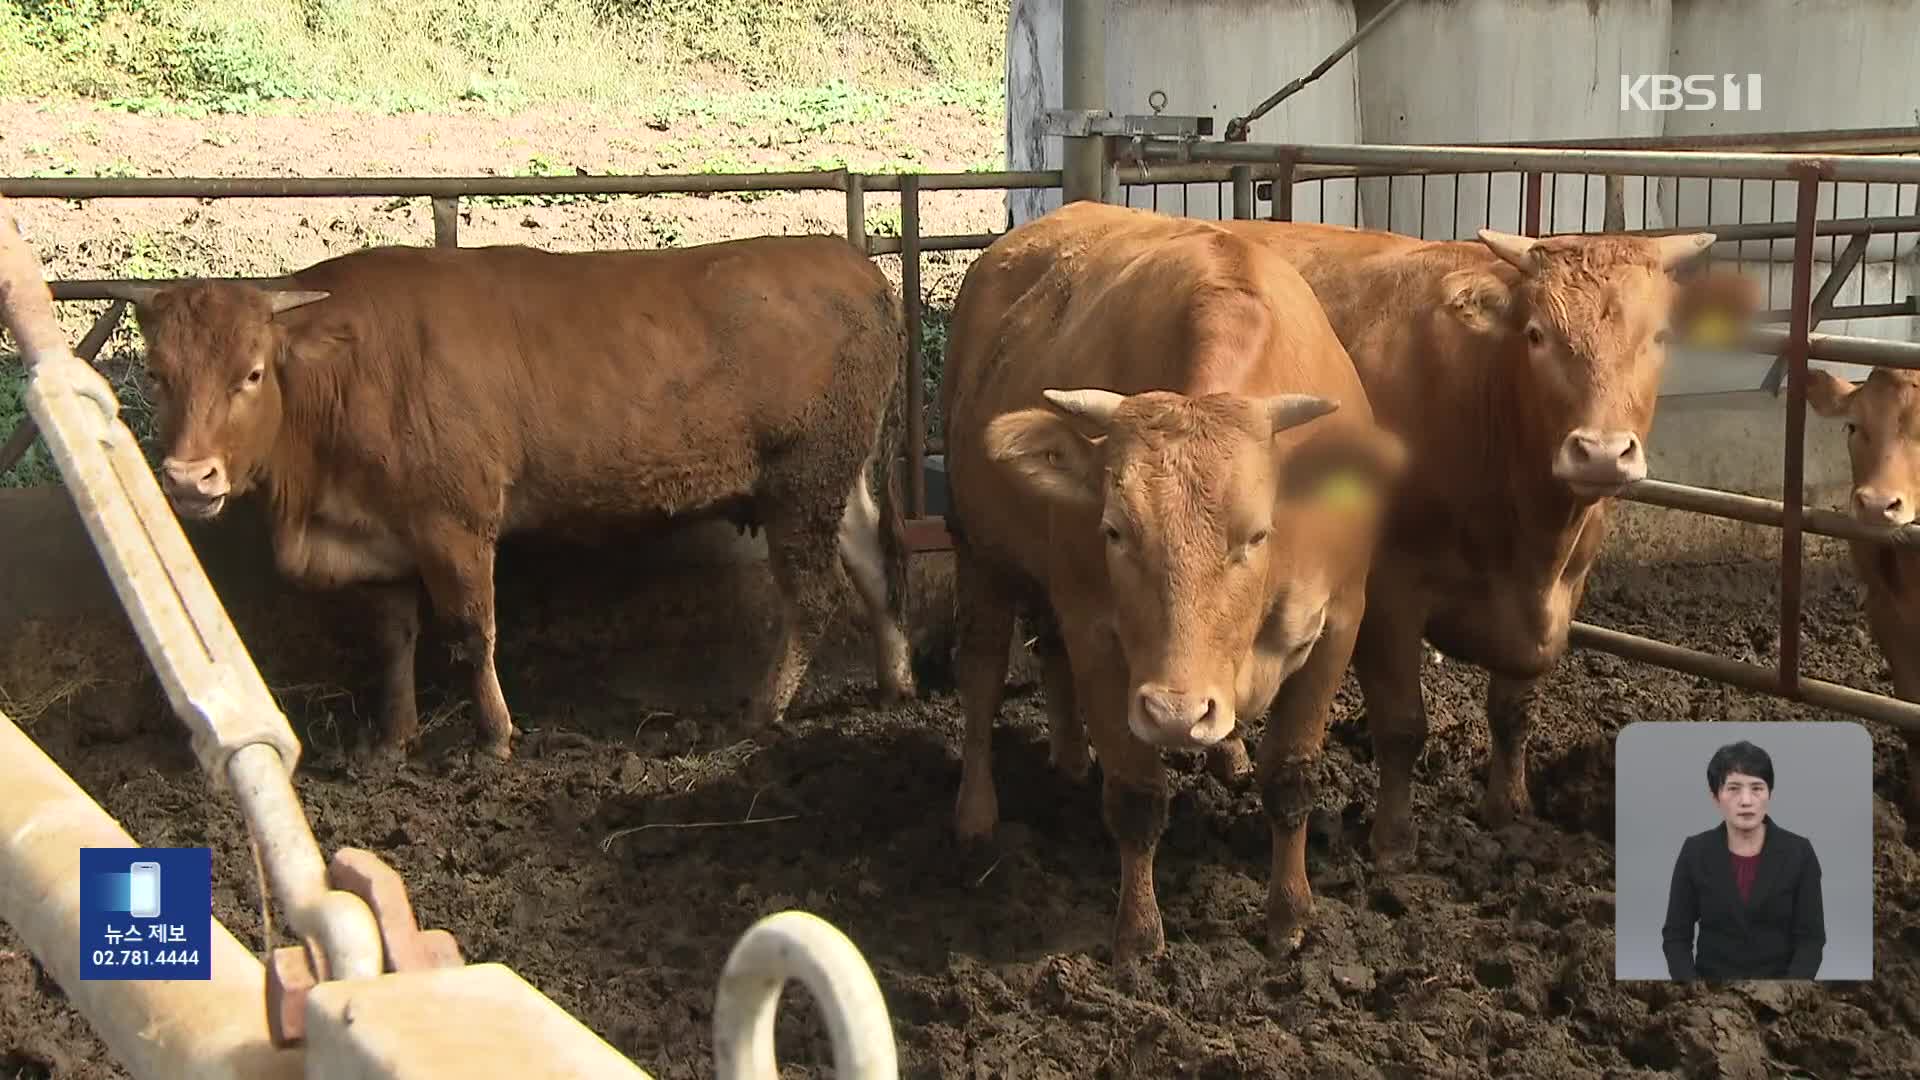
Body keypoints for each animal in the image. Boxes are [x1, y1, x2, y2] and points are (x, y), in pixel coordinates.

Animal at [108, 235, 917, 757]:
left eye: (250, 373)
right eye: (156, 374)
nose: (188, 478)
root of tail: (853, 265)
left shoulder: (454, 523)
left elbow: (473, 632)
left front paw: (497, 737)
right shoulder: (383, 534)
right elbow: (395, 637)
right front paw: (393, 739)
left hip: (802, 482)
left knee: (812, 597)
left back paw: (760, 711)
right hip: (834, 481)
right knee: (876, 568)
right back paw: (896, 682)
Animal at [948, 201, 1413, 957]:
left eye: (1257, 534)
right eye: (1115, 529)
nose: (1174, 713)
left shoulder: (1340, 621)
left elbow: (1293, 777)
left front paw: (1290, 914)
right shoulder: (1099, 633)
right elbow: (1137, 795)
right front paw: (1138, 935)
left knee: (1049, 656)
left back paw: (1085, 760)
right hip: (980, 553)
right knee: (984, 673)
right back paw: (976, 813)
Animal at [1221, 219, 1758, 864]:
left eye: (1658, 336)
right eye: (1536, 334)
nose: (1602, 452)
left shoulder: (1560, 591)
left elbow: (1513, 711)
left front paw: (1509, 810)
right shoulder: (1389, 591)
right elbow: (1402, 724)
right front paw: (1394, 841)